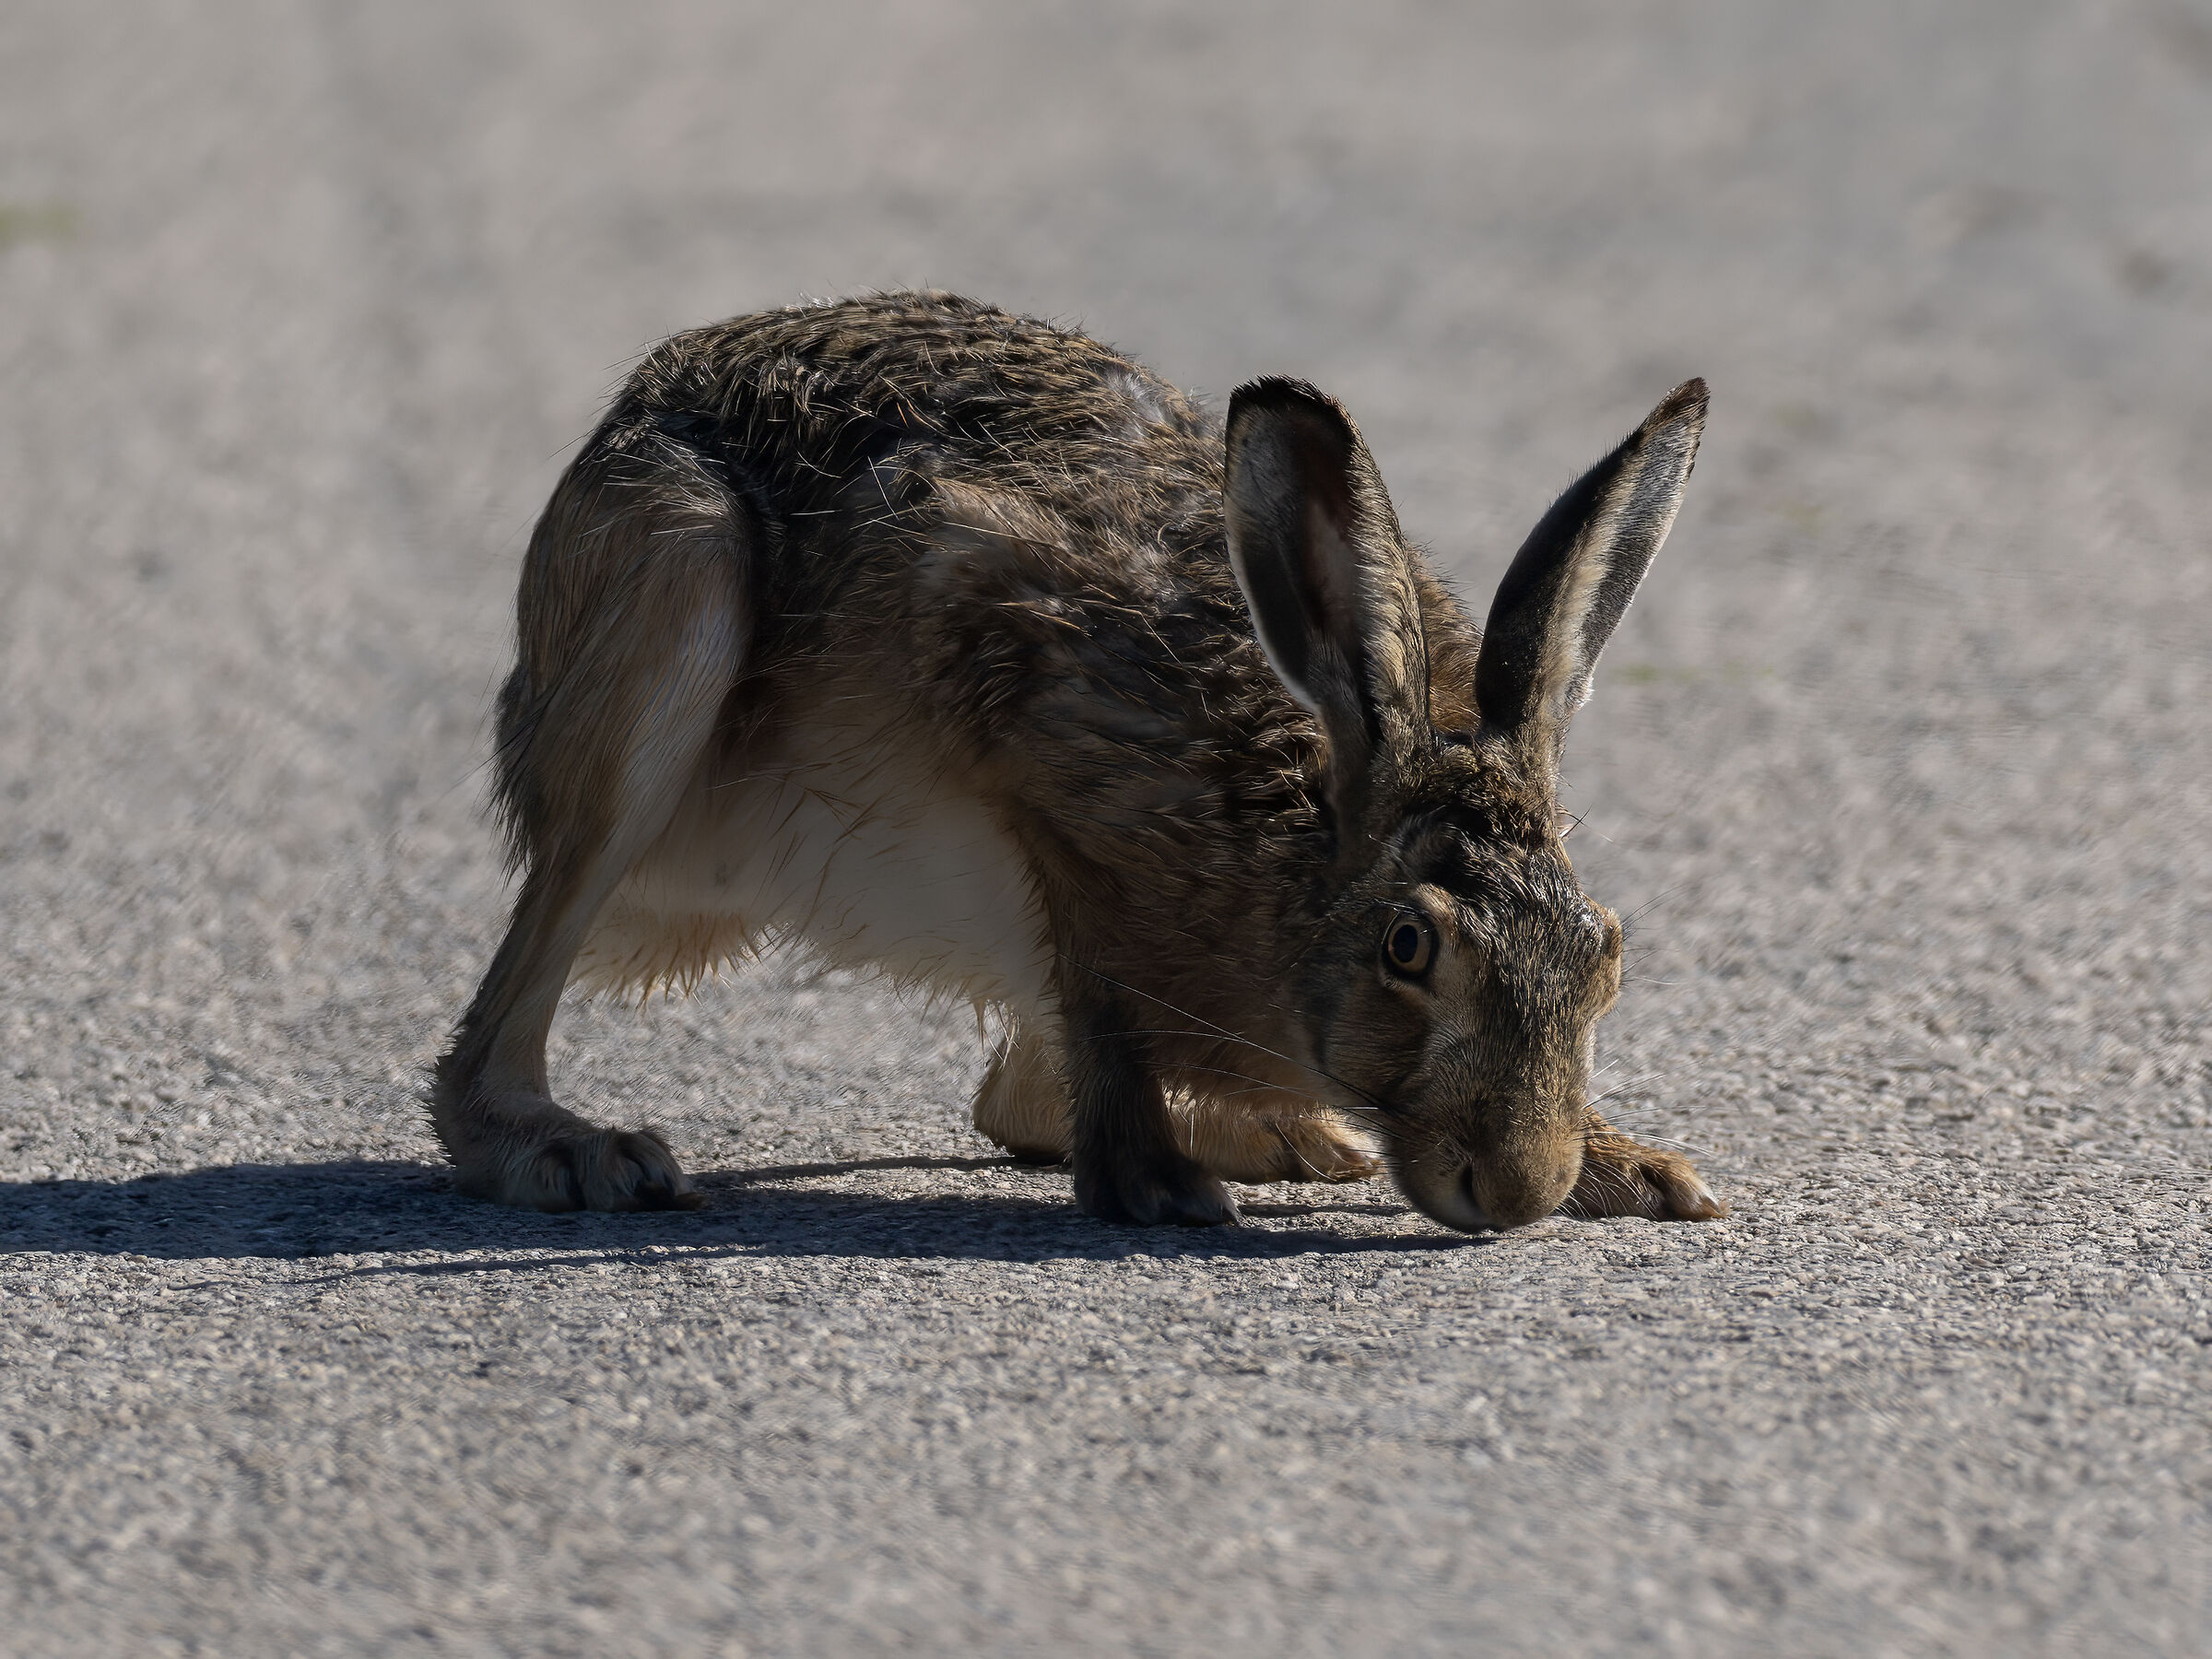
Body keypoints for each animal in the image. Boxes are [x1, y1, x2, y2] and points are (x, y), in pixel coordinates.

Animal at [430, 290, 1725, 1231]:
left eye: (1605, 951)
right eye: (1409, 947)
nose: (1518, 1189)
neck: (1302, 847)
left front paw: (1637, 1171)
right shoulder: (1034, 756)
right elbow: (1098, 993)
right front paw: (1153, 1188)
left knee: (1013, 1102)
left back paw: (1288, 1136)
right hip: (669, 596)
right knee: (486, 1048)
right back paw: (582, 1155)